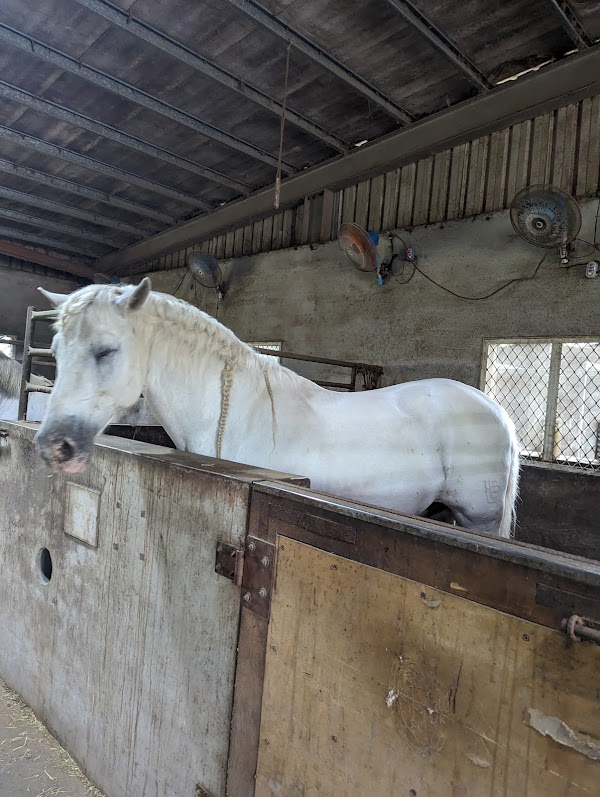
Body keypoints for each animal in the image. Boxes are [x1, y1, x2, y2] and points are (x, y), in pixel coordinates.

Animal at [34, 279, 520, 537]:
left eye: (106, 350)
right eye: (55, 351)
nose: (55, 446)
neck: (229, 413)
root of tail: (493, 408)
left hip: (479, 518)